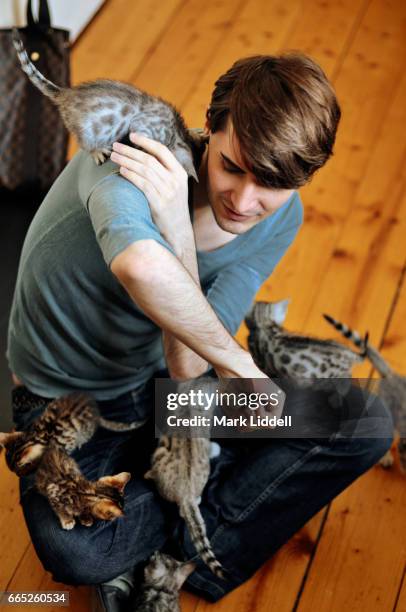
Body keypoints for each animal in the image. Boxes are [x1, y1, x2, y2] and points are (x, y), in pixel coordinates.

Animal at [0, 392, 146, 478]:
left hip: (85, 429)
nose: (17, 475)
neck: (37, 436)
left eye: (18, 469)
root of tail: (96, 414)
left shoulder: (66, 441)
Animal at [13, 30, 201, 178]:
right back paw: (97, 151)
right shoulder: (142, 128)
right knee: (85, 144)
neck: (176, 131)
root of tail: (65, 94)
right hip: (85, 132)